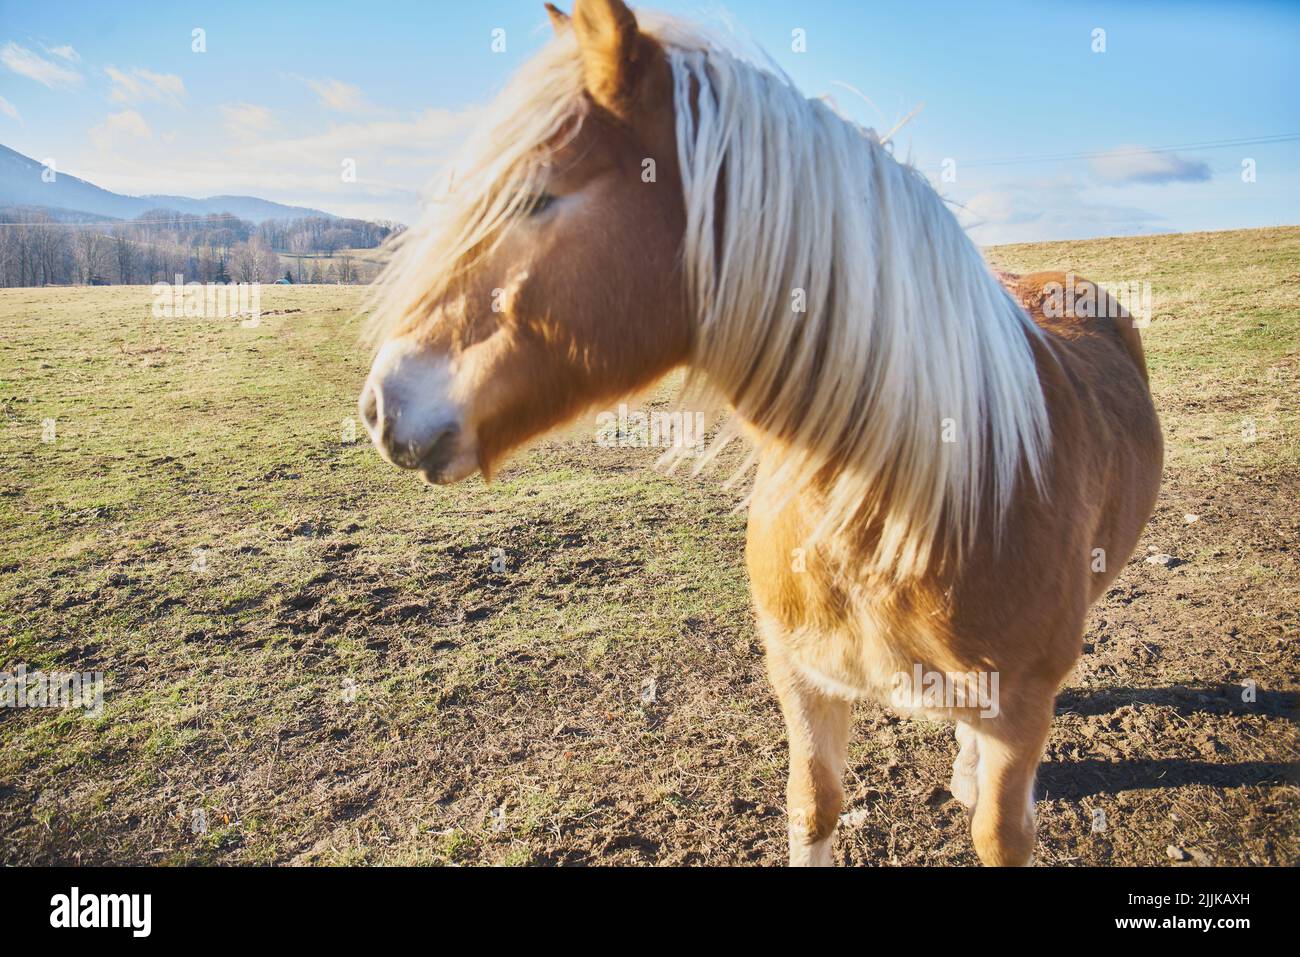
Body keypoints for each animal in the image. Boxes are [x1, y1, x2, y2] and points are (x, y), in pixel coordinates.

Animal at [356, 1, 1159, 868]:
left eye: (538, 196)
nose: (381, 404)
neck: (923, 500)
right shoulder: (802, 678)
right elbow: (813, 807)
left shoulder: (1017, 709)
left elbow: (1000, 830)